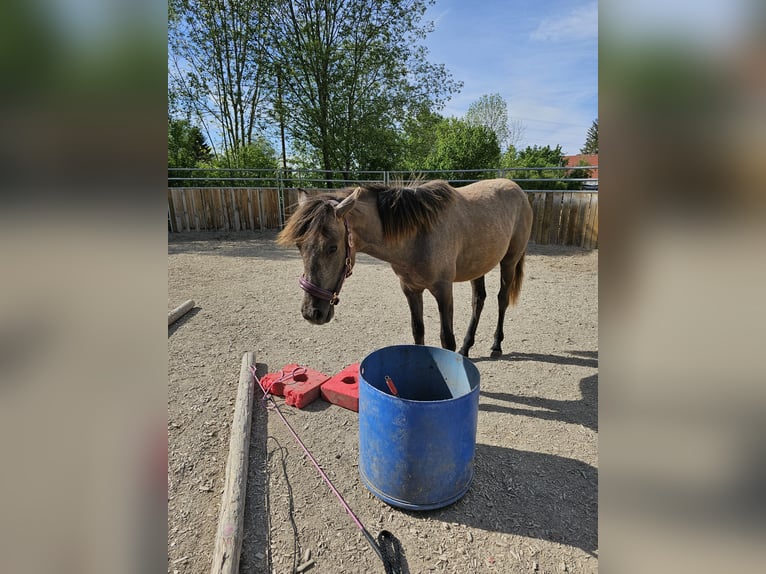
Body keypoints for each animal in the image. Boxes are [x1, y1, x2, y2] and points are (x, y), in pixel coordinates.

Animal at [276, 179, 536, 360]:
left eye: (332, 247)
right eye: (299, 245)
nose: (311, 313)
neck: (419, 234)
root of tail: (517, 189)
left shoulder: (443, 290)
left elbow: (446, 339)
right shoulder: (411, 289)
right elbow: (417, 330)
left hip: (509, 262)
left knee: (501, 299)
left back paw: (496, 345)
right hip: (478, 266)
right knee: (478, 300)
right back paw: (466, 347)